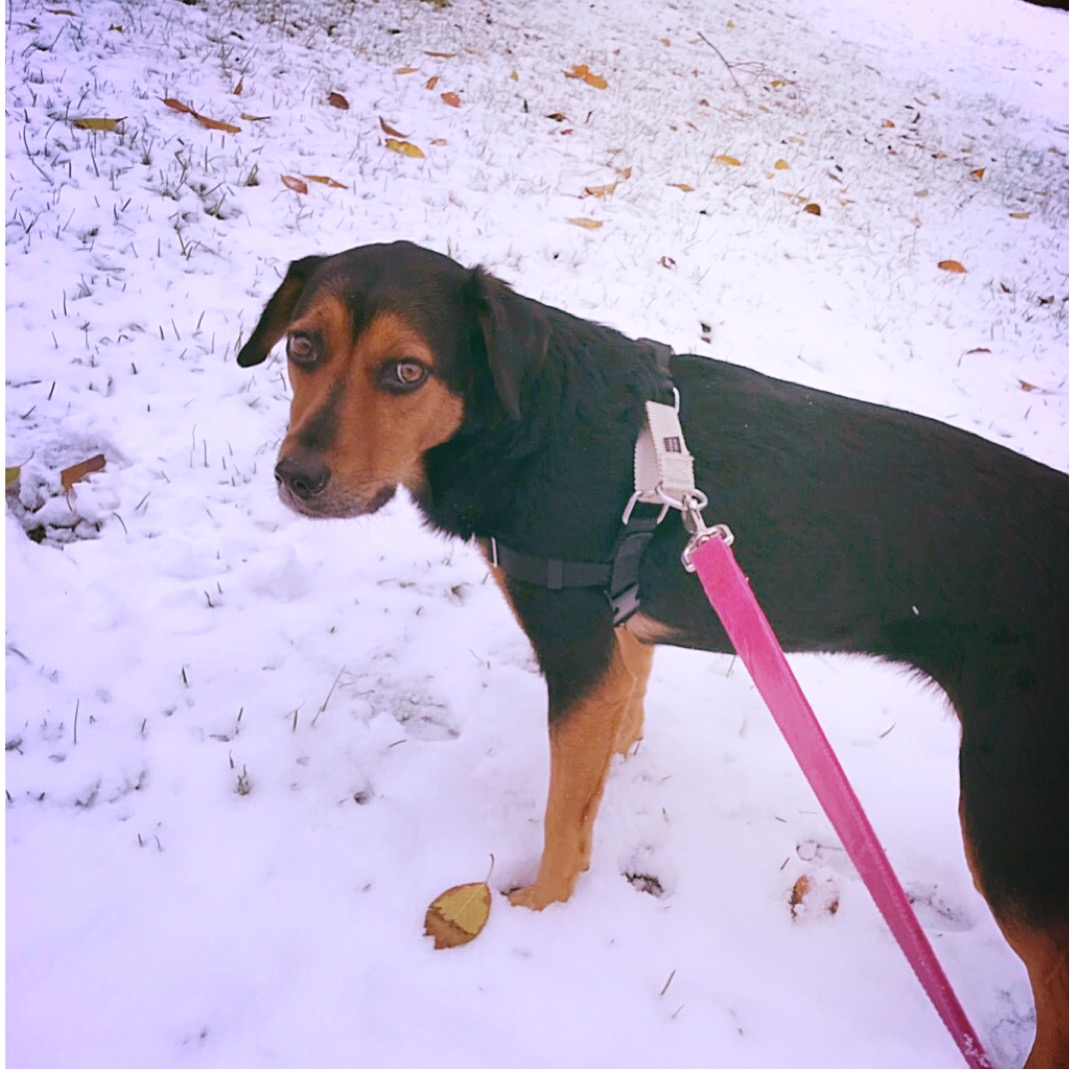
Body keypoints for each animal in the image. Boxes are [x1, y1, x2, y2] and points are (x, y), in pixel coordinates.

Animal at [238, 240, 1067, 1067]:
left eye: (406, 371)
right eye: (303, 346)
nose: (296, 478)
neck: (526, 420)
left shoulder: (576, 653)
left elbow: (562, 820)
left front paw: (539, 909)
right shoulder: (618, 643)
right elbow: (613, 740)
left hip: (1009, 820)